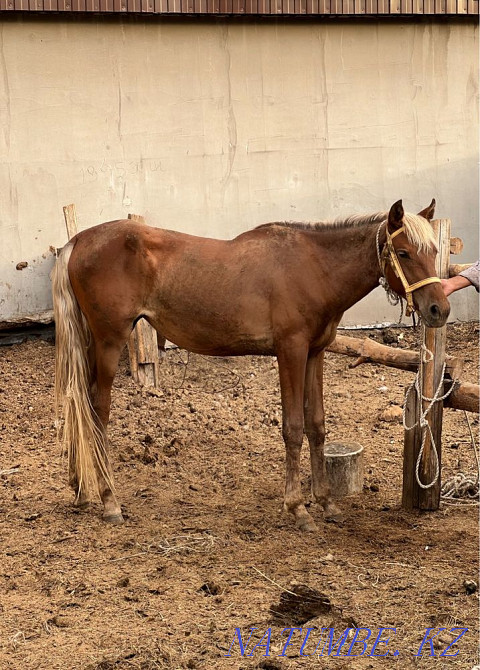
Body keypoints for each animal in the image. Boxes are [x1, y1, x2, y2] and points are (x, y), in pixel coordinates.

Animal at [51, 199, 450, 531]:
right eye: (404, 252)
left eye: (433, 251)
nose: (439, 309)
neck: (313, 268)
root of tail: (78, 242)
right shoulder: (290, 351)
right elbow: (293, 428)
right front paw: (298, 508)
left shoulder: (315, 353)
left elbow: (317, 426)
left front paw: (326, 503)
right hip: (108, 342)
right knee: (97, 412)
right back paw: (109, 501)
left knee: (77, 402)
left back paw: (82, 489)